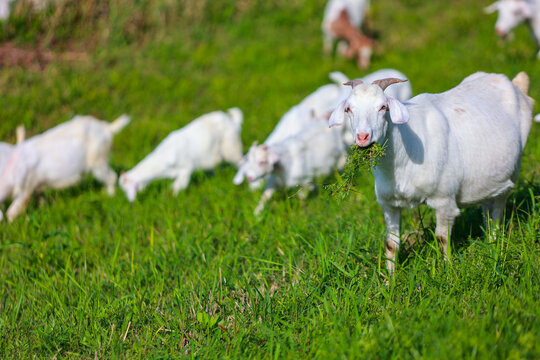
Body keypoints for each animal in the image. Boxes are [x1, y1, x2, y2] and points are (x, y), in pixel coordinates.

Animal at [0, 115, 130, 222]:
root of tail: (107, 128)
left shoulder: (27, 186)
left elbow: (14, 208)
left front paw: (11, 222)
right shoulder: (36, 185)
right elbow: (40, 198)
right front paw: (42, 209)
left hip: (98, 160)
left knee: (112, 176)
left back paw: (109, 195)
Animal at [326, 72, 532, 276]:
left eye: (383, 107)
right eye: (348, 109)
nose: (362, 137)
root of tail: (512, 83)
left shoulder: (444, 200)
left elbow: (442, 238)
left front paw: (447, 272)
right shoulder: (389, 204)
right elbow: (391, 244)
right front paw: (389, 280)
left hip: (512, 173)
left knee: (498, 210)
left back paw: (494, 244)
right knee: (487, 208)